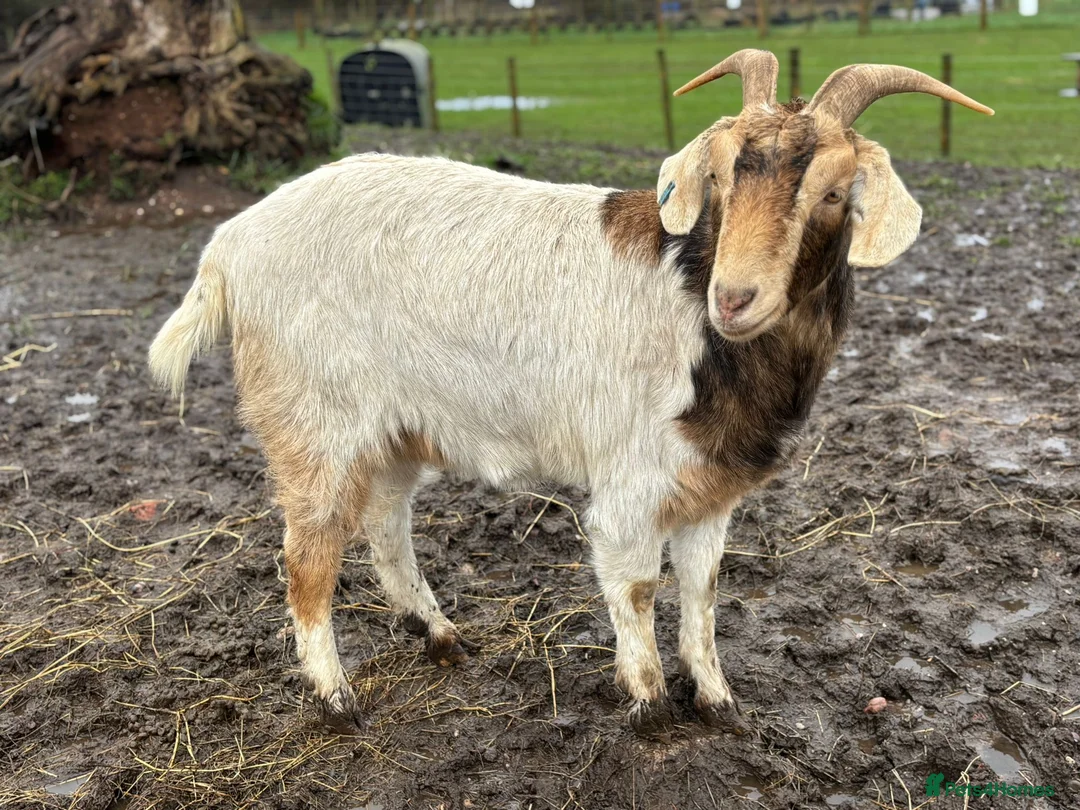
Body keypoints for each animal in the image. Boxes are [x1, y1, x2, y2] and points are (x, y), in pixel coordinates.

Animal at [148, 50, 991, 736]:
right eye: (720, 176)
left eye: (834, 193)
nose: (735, 297)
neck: (694, 304)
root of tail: (229, 245)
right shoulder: (632, 481)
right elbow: (639, 585)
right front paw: (650, 707)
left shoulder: (711, 488)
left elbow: (704, 589)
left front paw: (717, 700)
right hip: (314, 422)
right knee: (308, 556)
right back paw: (336, 699)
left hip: (396, 426)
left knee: (385, 523)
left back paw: (438, 634)